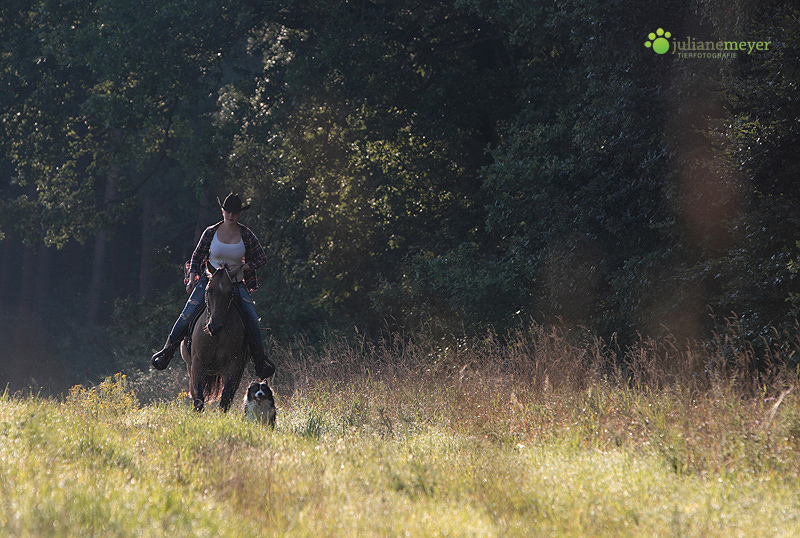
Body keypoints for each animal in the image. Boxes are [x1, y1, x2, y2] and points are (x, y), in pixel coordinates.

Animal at [181, 260, 250, 410]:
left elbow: (226, 398)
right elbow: (198, 397)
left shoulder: (233, 367)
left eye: (231, 292)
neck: (217, 336)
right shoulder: (197, 365)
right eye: (208, 290)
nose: (214, 326)